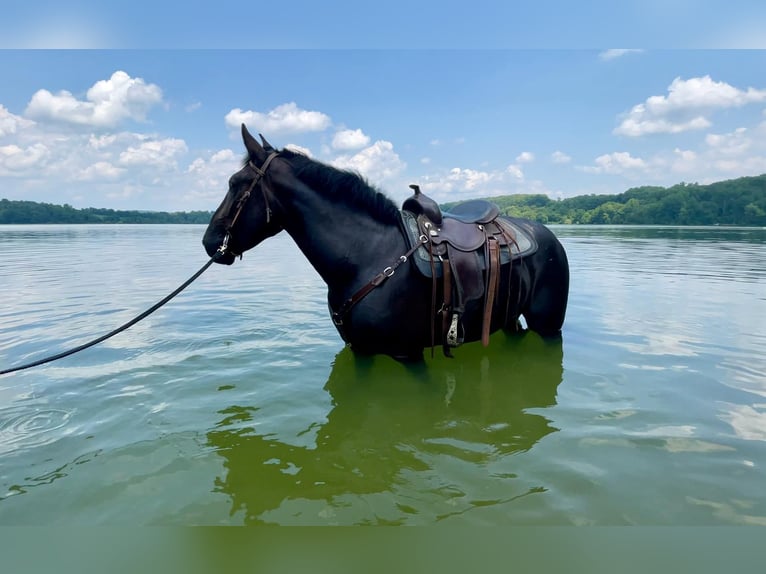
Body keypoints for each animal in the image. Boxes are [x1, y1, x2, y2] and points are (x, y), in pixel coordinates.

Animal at [204, 125, 568, 360]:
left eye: (236, 183)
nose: (210, 242)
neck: (364, 258)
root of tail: (547, 234)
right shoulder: (360, 351)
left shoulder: (406, 354)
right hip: (508, 319)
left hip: (548, 325)